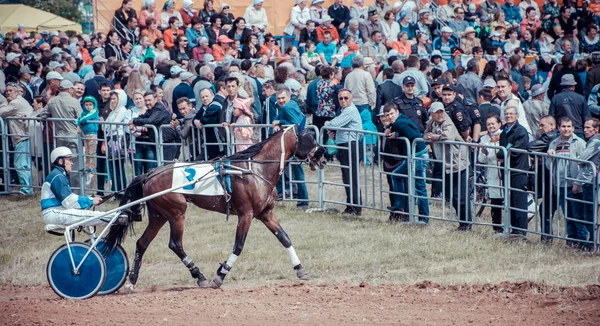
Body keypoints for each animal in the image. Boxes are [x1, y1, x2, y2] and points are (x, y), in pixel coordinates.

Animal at [105, 126, 326, 290]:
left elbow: (284, 238)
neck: (254, 169)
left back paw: (132, 280)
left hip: (159, 215)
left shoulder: (266, 214)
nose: (323, 159)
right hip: (176, 212)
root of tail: (149, 174)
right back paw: (199, 275)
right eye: (310, 139)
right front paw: (220, 275)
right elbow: (238, 245)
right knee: (175, 244)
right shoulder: (246, 215)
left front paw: (300, 268)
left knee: (142, 243)